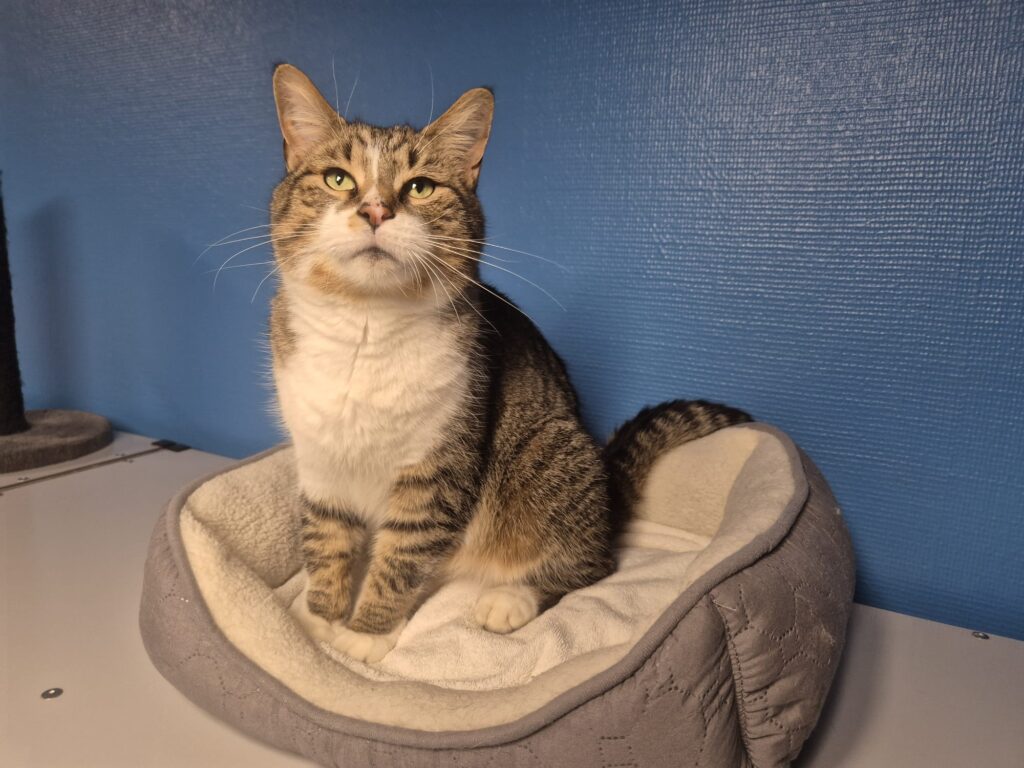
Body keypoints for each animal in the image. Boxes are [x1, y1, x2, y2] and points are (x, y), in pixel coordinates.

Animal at [267, 63, 751, 663]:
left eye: (420, 186)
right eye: (338, 179)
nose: (376, 210)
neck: (366, 328)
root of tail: (608, 491)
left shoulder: (439, 466)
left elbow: (402, 557)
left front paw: (366, 633)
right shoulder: (320, 462)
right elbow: (326, 541)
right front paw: (316, 625)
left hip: (543, 459)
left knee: (591, 565)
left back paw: (510, 599)